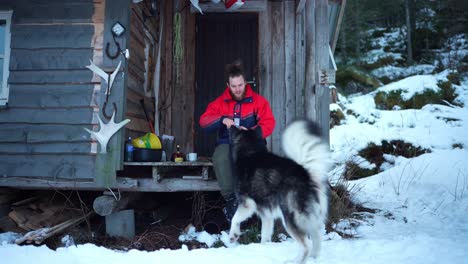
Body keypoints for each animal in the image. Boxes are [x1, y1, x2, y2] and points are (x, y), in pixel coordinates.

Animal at [229, 120, 330, 262]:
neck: (251, 152)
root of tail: (305, 174)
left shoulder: (247, 204)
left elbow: (234, 219)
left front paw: (233, 235)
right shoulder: (266, 215)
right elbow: (265, 236)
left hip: (290, 217)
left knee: (306, 245)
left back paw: (296, 261)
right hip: (310, 217)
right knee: (317, 238)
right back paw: (313, 258)